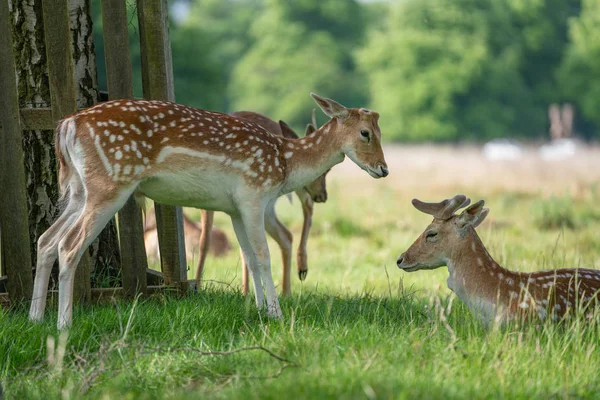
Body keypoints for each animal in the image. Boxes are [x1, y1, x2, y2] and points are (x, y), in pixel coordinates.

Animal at [196, 109, 328, 294]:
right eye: (325, 171)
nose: (323, 195)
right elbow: (204, 242)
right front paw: (196, 283)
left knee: (302, 213)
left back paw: (299, 272)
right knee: (287, 232)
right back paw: (283, 288)